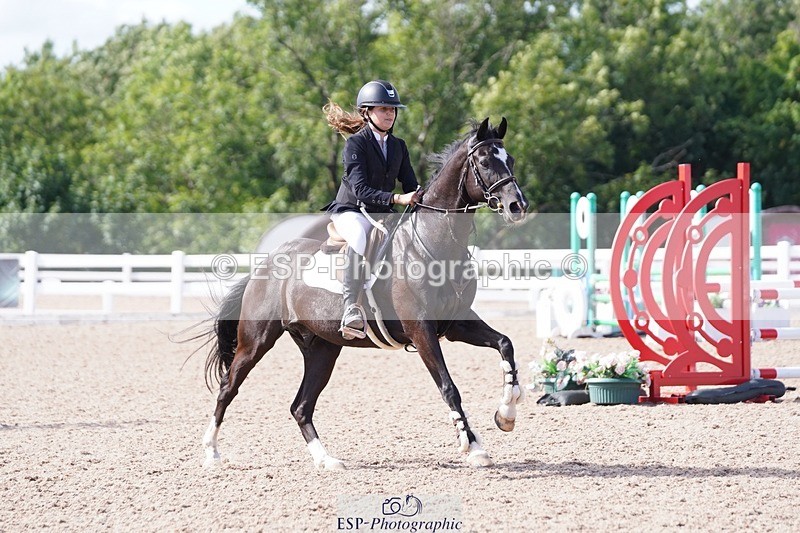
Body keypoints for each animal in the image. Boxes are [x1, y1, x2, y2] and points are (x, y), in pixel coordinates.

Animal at [202, 117, 529, 469]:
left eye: (510, 160)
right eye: (484, 162)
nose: (517, 206)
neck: (436, 244)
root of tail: (265, 263)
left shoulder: (456, 324)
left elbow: (505, 344)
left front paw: (506, 414)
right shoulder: (421, 330)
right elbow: (448, 387)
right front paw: (473, 446)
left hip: (323, 348)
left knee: (301, 406)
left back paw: (326, 460)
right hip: (256, 341)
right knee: (228, 388)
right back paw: (211, 451)